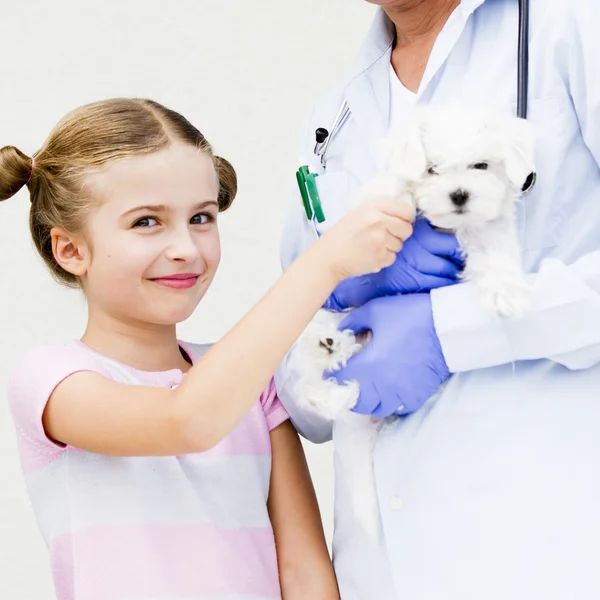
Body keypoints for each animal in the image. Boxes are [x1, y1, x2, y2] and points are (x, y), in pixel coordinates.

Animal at [286, 106, 536, 540]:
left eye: (481, 166)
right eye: (432, 169)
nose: (459, 195)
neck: (444, 225)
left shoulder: (488, 232)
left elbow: (496, 255)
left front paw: (506, 291)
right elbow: (390, 192)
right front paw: (393, 202)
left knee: (348, 390)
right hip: (325, 316)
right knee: (308, 375)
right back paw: (326, 347)